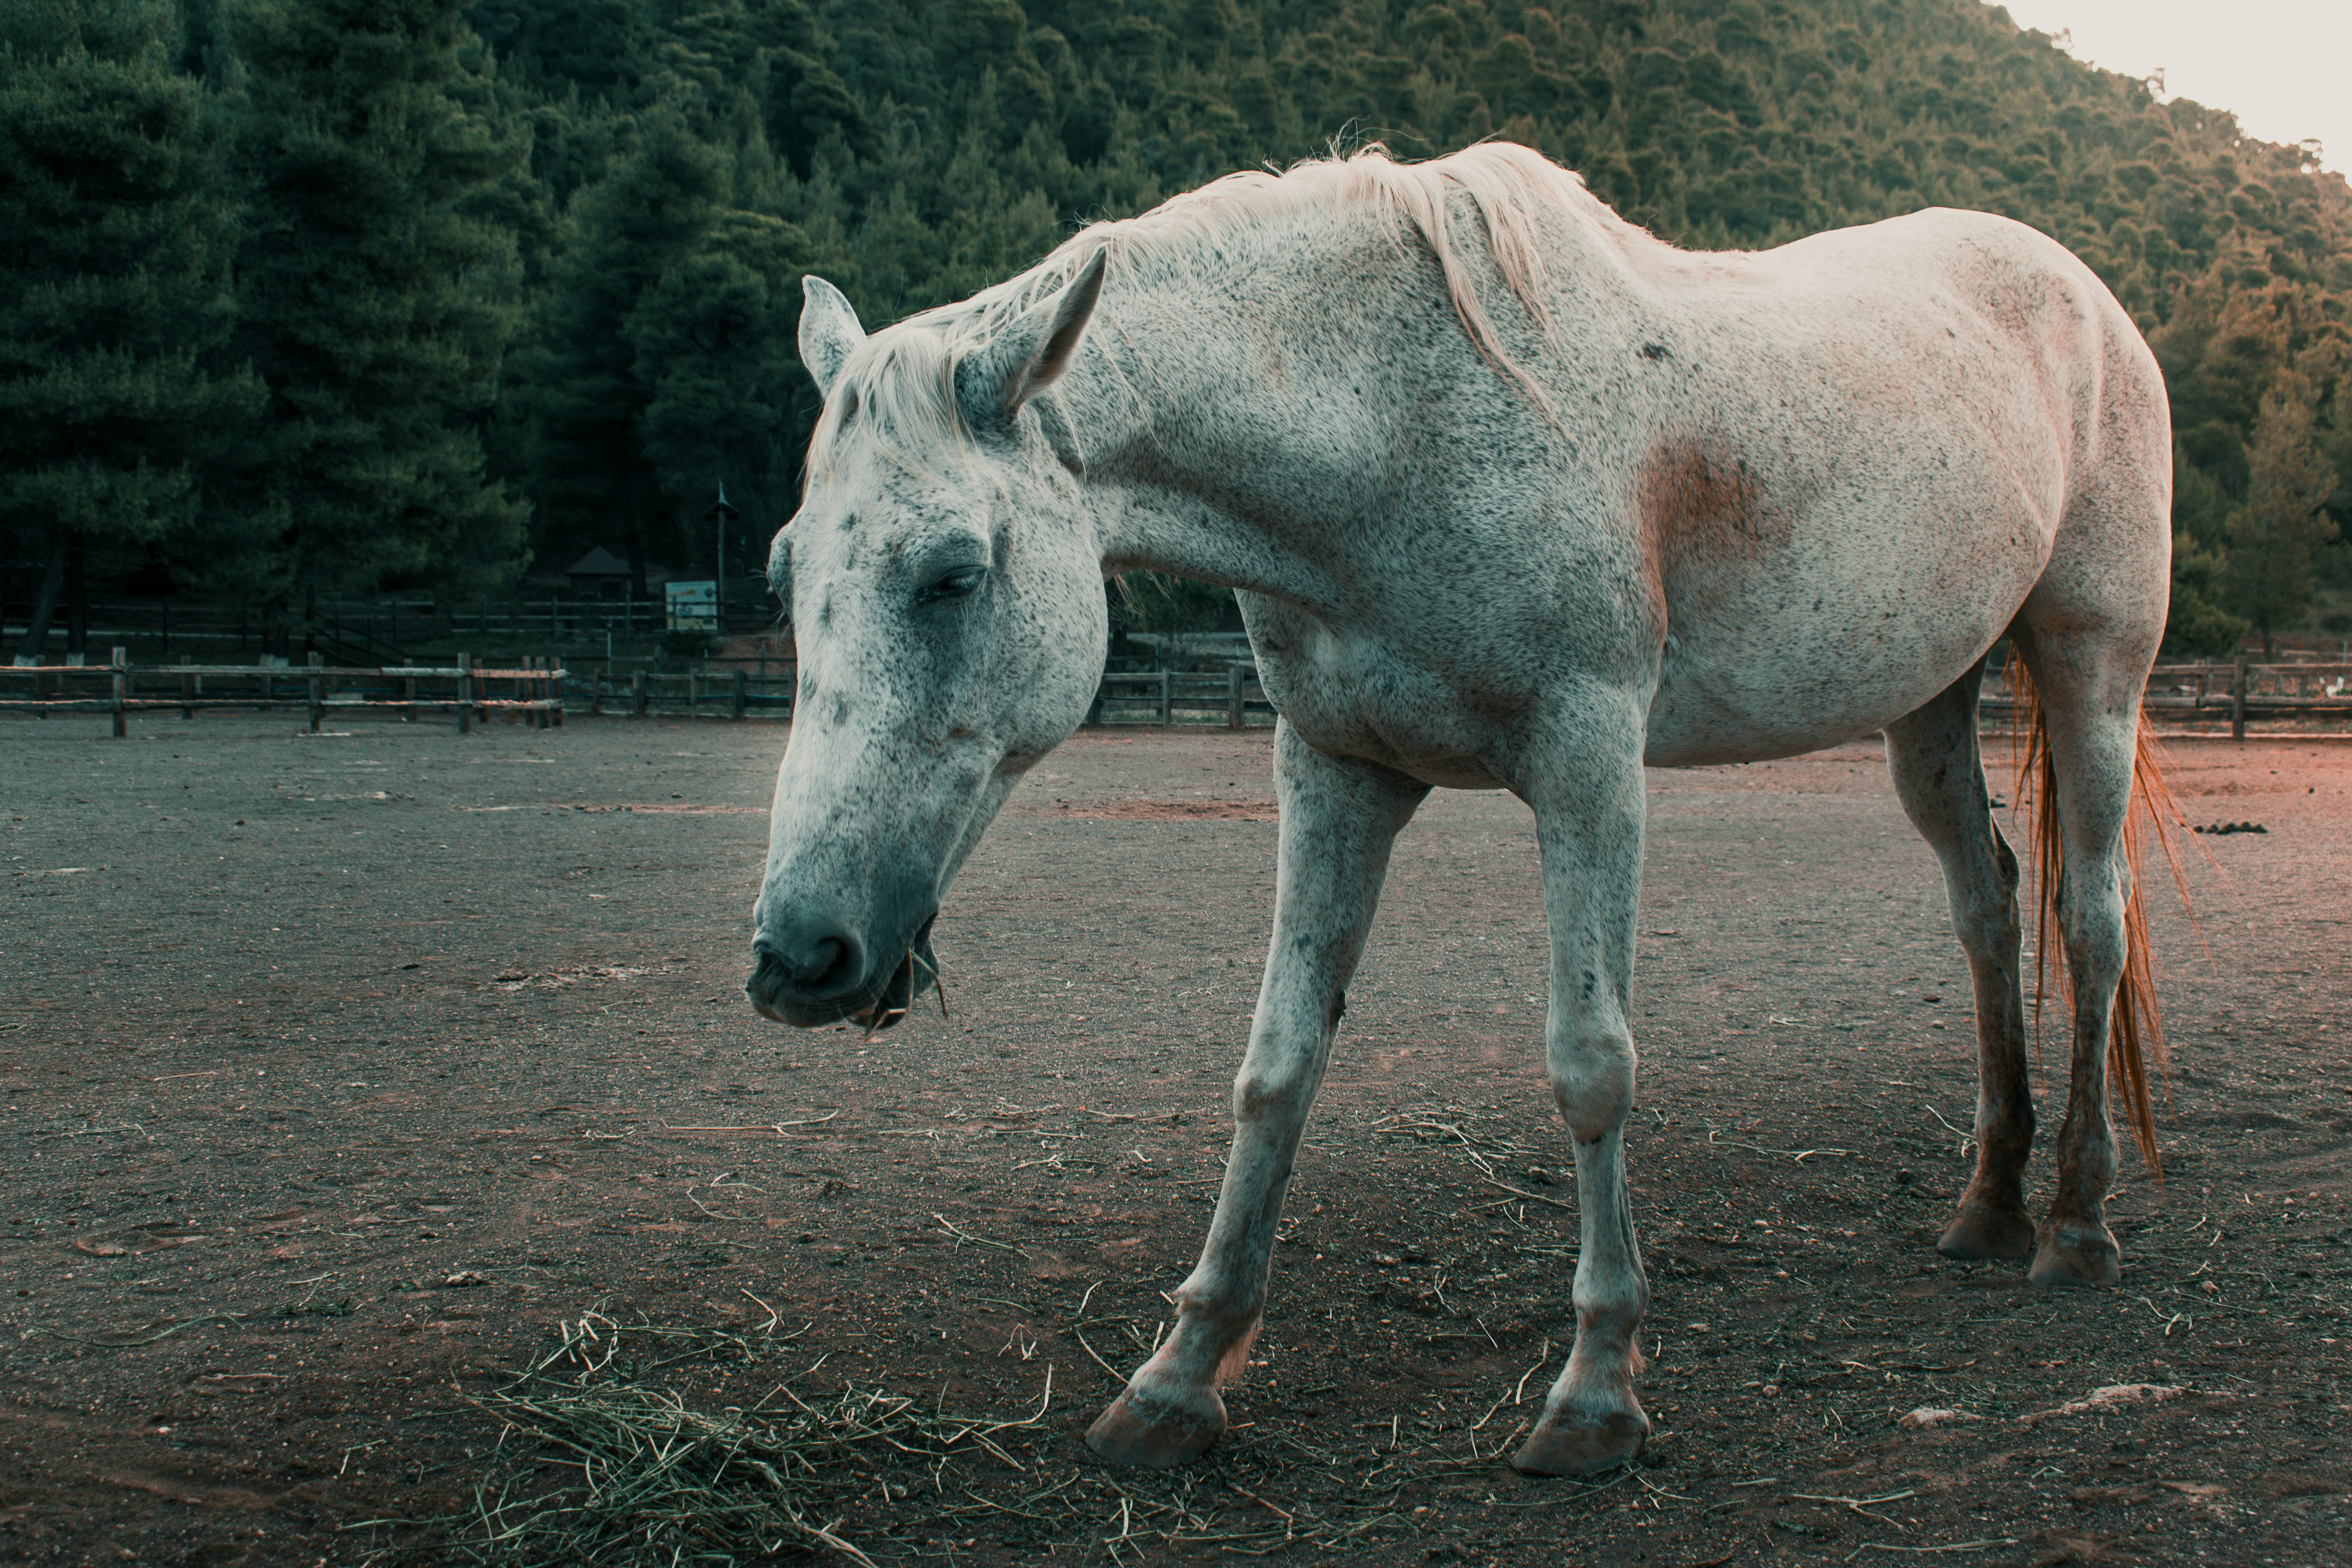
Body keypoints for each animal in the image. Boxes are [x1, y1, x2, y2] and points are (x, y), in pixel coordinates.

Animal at [745, 141, 2179, 1477]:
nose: (799, 956)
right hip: (1930, 706)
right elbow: (1277, 1067)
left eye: (952, 574)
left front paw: (1595, 1393)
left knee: (2089, 920)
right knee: (1988, 910)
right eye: (781, 569)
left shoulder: (1590, 762)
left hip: (2092, 665)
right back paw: (1988, 1203)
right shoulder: (1335, 771)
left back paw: (2079, 1225)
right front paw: (1179, 1378)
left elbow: (1591, 1065)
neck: (1396, 424)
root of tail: (2084, 295)